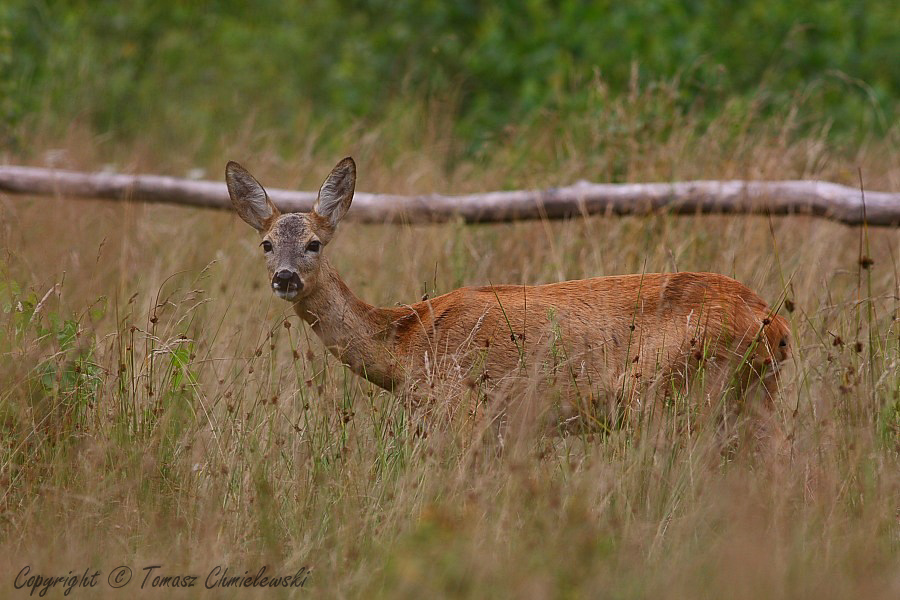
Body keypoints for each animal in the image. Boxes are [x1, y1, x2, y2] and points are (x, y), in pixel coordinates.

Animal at [229, 157, 792, 412]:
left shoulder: (462, 408)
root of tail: (775, 324)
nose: (285, 277)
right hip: (754, 397)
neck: (405, 344)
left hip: (674, 388)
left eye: (314, 244)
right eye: (266, 244)